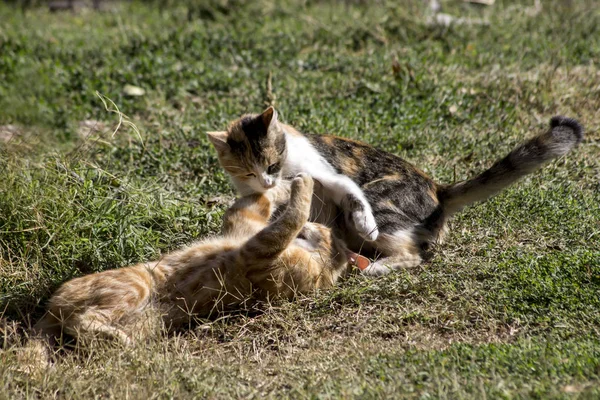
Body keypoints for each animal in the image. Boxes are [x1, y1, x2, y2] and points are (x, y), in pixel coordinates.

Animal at [21, 173, 356, 368]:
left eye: (325, 230)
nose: (316, 224)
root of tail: (50, 307)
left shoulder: (258, 249)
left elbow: (290, 217)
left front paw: (305, 184)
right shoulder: (246, 223)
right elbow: (259, 199)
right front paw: (287, 182)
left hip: (134, 291)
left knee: (82, 321)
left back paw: (119, 342)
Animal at [209, 108, 584, 276]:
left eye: (272, 164)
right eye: (248, 172)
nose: (268, 182)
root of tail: (438, 190)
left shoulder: (326, 174)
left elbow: (347, 191)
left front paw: (364, 223)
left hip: (382, 201)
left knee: (413, 252)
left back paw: (375, 266)